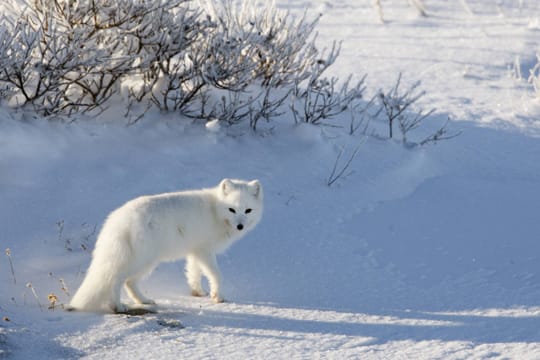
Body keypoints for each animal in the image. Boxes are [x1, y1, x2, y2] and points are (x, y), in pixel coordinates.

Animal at [69, 179, 264, 314]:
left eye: (248, 211)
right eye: (232, 209)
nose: (240, 226)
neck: (215, 210)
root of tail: (119, 219)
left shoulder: (195, 251)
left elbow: (194, 273)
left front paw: (197, 292)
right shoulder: (205, 250)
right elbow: (216, 274)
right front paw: (218, 296)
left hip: (146, 262)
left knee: (129, 282)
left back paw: (144, 300)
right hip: (142, 260)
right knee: (116, 279)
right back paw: (117, 306)